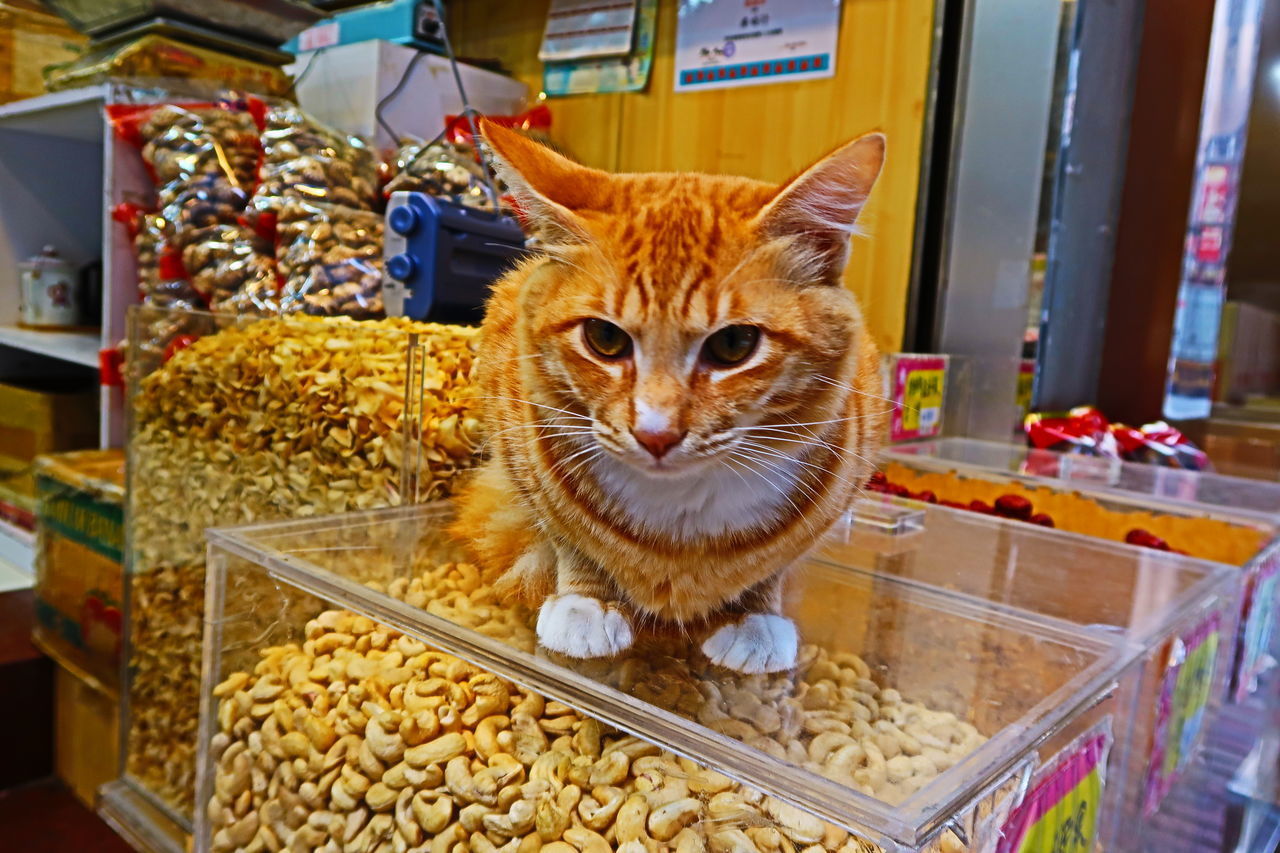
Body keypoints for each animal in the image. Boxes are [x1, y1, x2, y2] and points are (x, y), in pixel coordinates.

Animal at [455, 117, 885, 671]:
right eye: (605, 338)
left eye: (733, 344)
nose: (655, 434)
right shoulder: (517, 435)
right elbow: (565, 533)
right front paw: (584, 601)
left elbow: (775, 564)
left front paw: (755, 615)